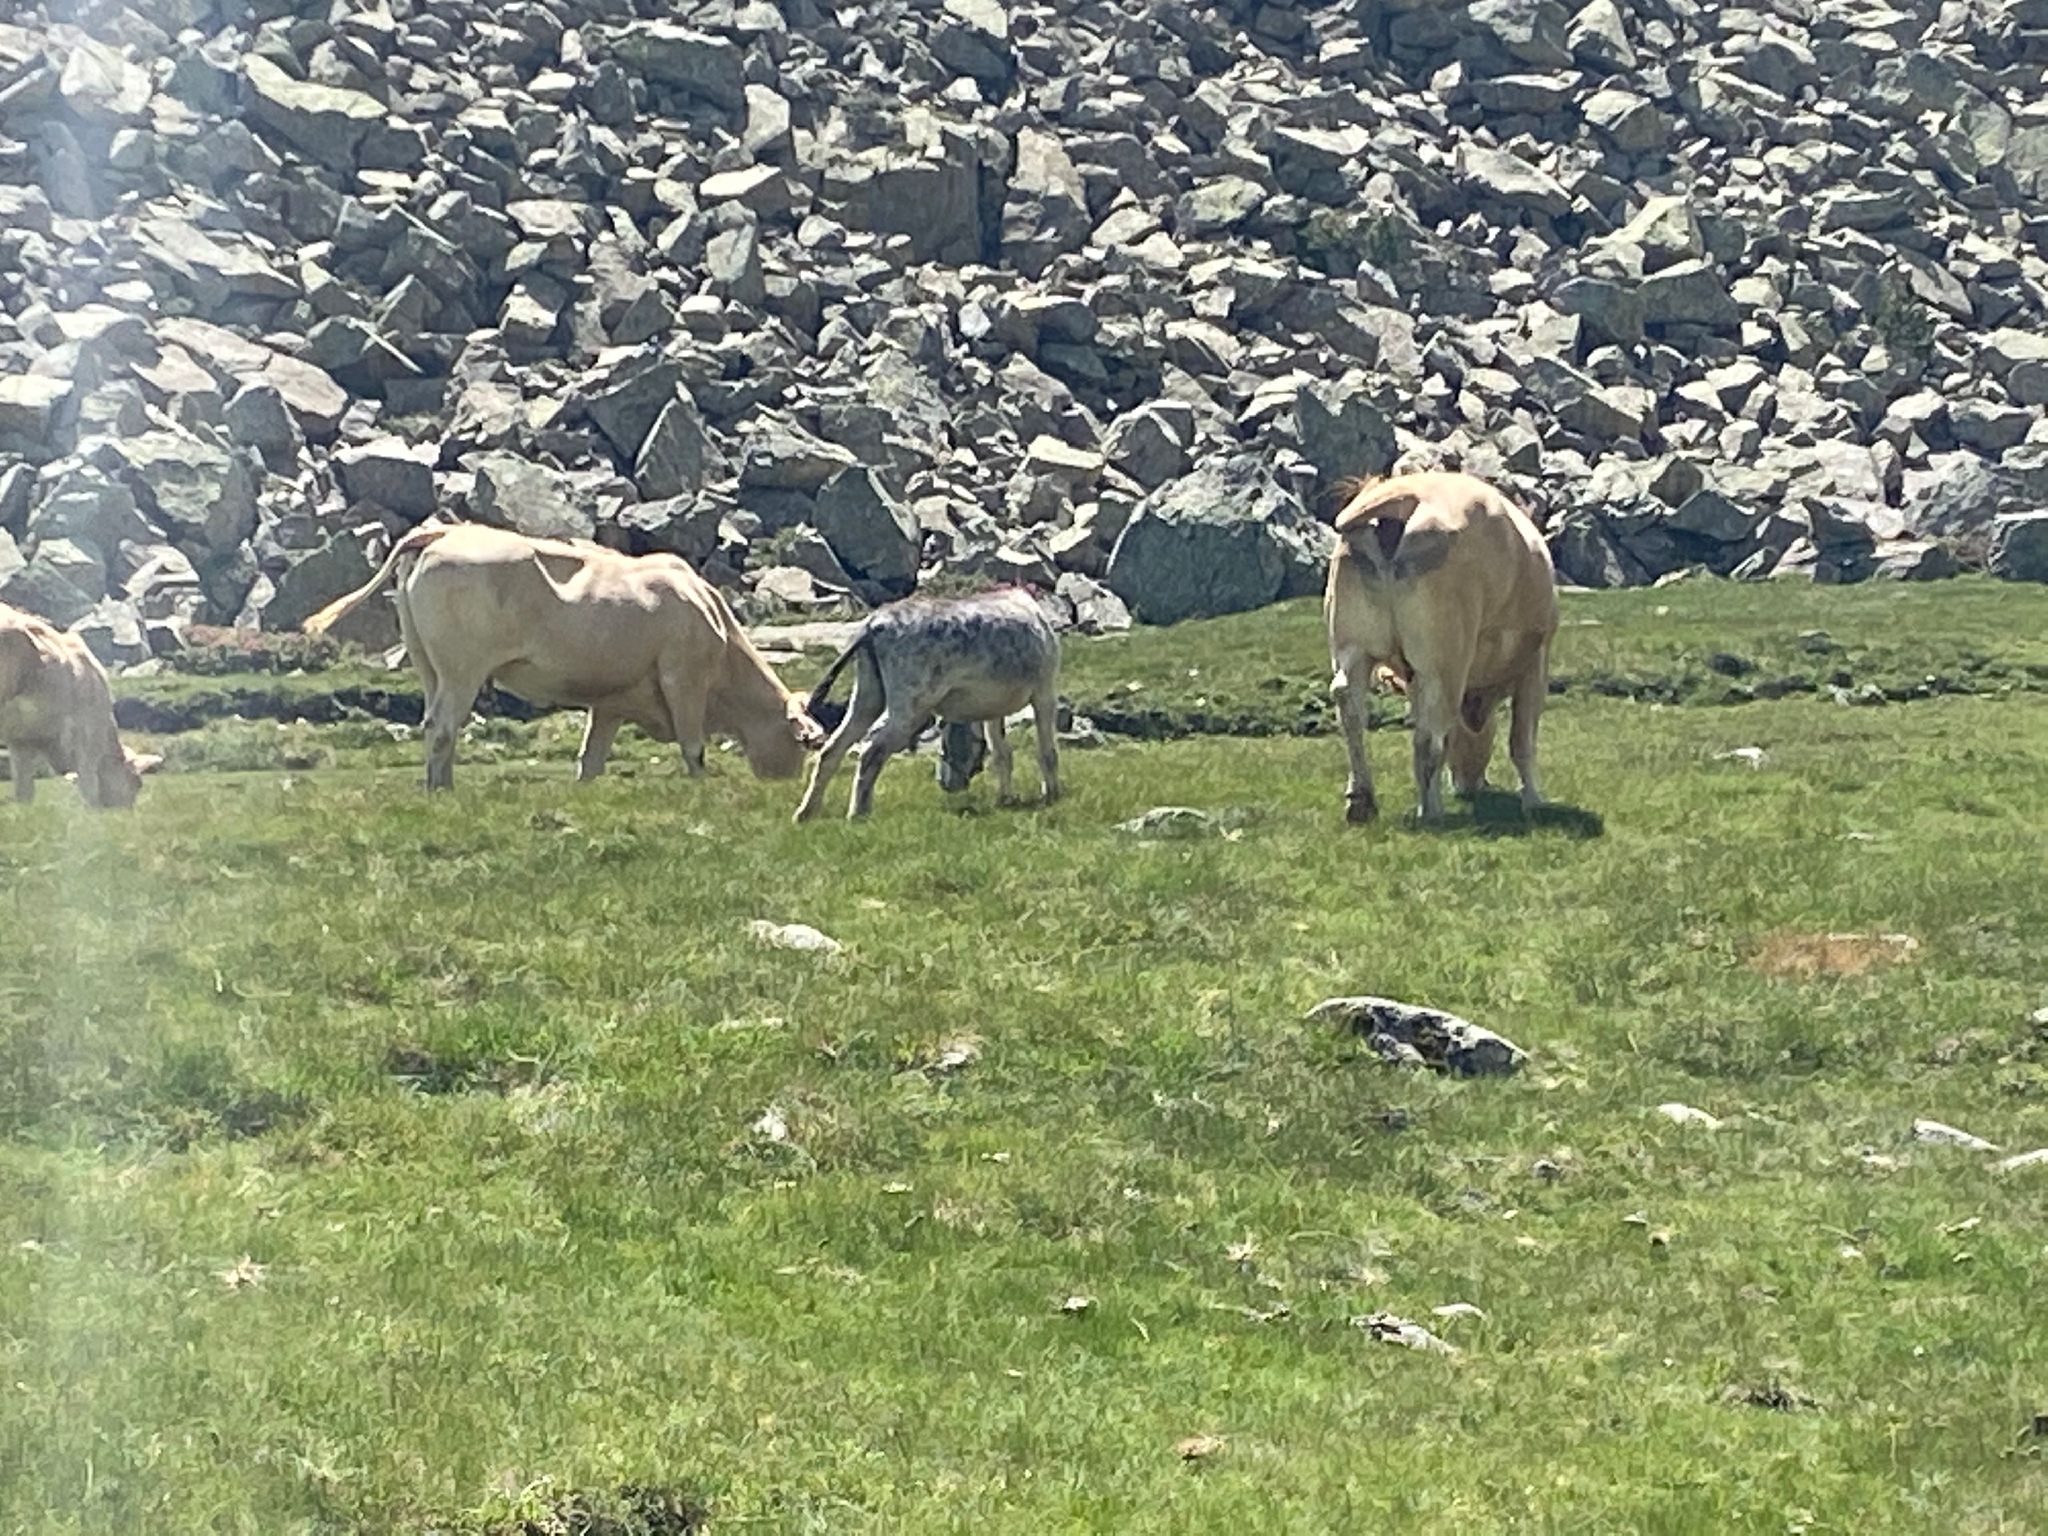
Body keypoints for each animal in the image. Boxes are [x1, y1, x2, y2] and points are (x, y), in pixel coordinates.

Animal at [1, 601, 162, 809]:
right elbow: (89, 786)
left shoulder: (19, 739)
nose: (126, 812)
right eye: (137, 782)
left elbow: (24, 790)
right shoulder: (87, 736)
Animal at [301, 523, 824, 790]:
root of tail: (445, 532)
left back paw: (437, 787)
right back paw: (443, 790)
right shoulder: (684, 680)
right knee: (444, 727)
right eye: (801, 745)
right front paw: (701, 790)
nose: (783, 787)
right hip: (461, 671)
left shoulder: (612, 703)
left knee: (432, 723)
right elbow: (693, 748)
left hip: (428, 666)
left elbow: (590, 760)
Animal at [793, 588, 1062, 821]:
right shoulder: (1044, 693)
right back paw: (858, 813)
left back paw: (806, 813)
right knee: (871, 752)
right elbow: (1047, 752)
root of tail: (872, 625)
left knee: (831, 750)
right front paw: (1051, 795)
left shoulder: (993, 707)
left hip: (868, 696)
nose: (946, 784)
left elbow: (1001, 754)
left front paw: (1006, 798)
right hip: (911, 708)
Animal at [1325, 471, 1559, 824]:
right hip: (1445, 662)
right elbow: (1522, 739)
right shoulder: (1536, 659)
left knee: (1350, 706)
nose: (1468, 785)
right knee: (1428, 737)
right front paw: (1534, 802)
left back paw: (1361, 800)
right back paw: (1431, 812)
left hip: (1353, 644)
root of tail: (1410, 493)